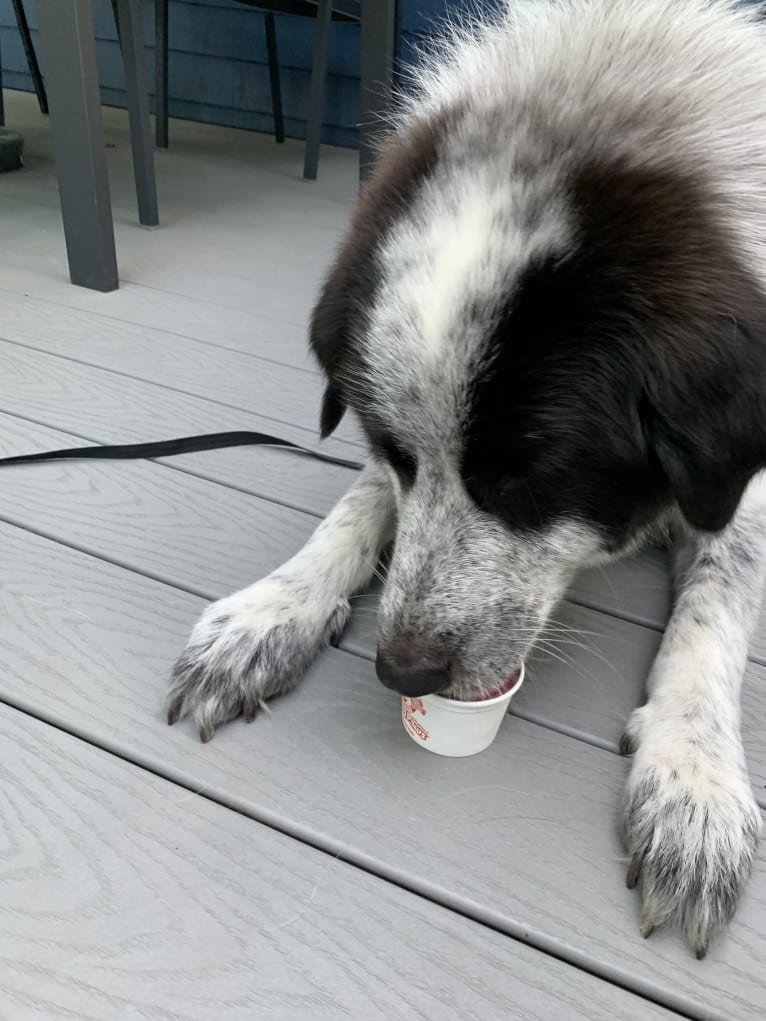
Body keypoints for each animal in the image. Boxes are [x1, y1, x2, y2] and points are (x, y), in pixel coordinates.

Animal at [166, 0, 766, 955]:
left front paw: (694, 779)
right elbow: (352, 510)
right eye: (397, 450)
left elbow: (714, 611)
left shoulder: (737, 488)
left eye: (529, 479)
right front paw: (269, 613)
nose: (402, 674)